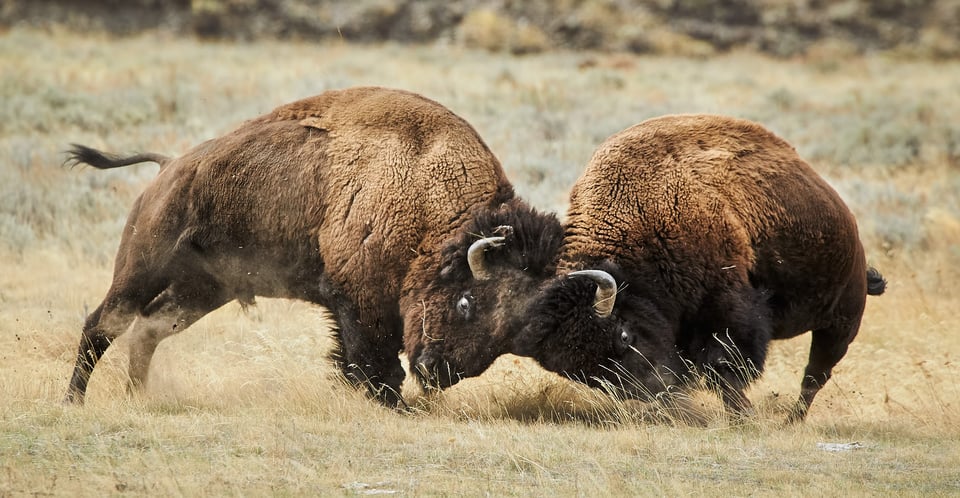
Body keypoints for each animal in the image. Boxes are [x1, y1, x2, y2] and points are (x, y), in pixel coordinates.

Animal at [62, 85, 556, 406]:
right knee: (102, 325)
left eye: (510, 334)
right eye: (466, 302)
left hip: (203, 288)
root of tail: (170, 166)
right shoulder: (355, 302)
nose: (438, 372)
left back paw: (137, 397)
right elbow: (372, 364)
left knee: (147, 329)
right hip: (144, 266)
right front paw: (388, 403)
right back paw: (74, 401)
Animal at [404, 115, 884, 422]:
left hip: (843, 319)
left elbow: (728, 368)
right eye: (590, 374)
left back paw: (791, 420)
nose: (658, 392)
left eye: (624, 335)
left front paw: (742, 418)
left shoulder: (729, 307)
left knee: (815, 374)